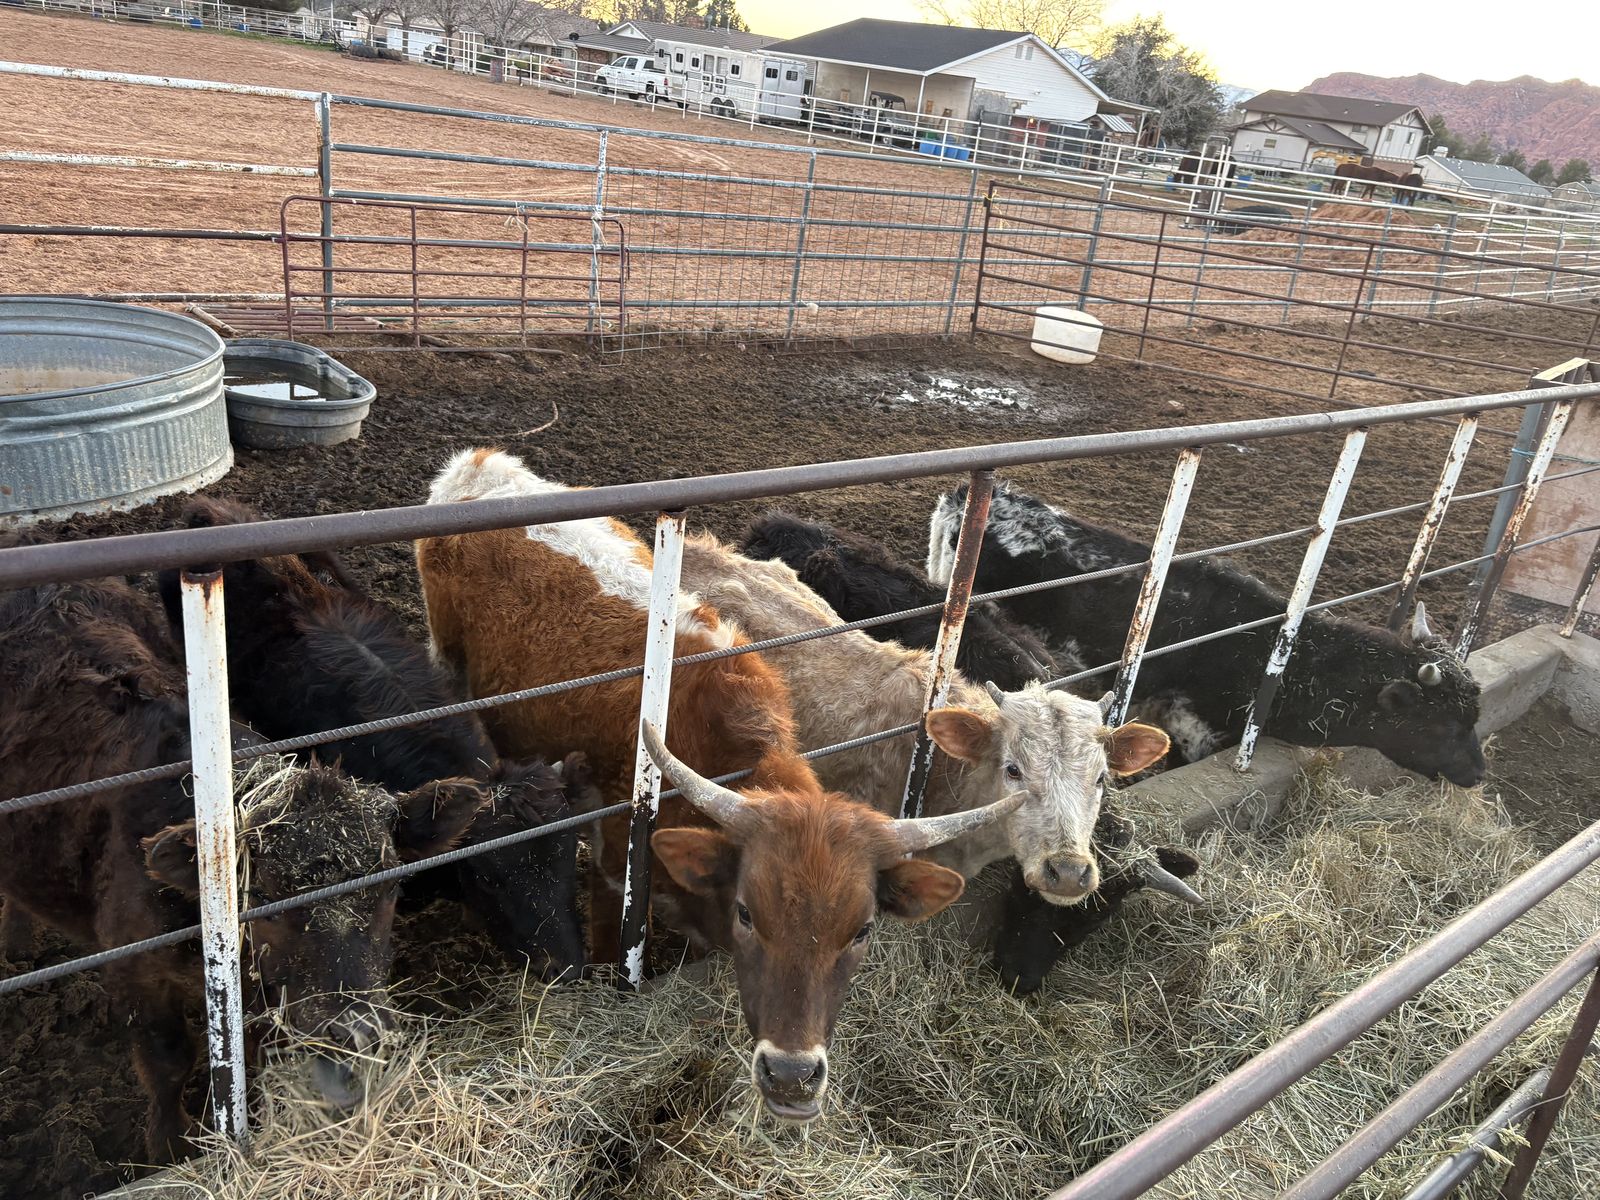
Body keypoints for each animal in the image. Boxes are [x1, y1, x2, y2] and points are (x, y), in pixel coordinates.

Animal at [0, 557, 482, 1158]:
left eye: (391, 887)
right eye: (266, 900)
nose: (355, 1032)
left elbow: (246, 1051)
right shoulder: (133, 968)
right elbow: (166, 1060)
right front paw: (171, 1147)